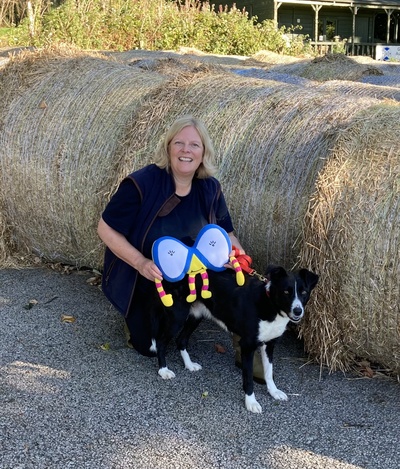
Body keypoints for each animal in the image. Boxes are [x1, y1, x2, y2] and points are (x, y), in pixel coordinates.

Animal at [153, 264, 318, 414]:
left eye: (304, 292)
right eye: (286, 292)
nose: (298, 311)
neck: (270, 304)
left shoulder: (269, 344)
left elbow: (268, 372)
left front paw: (274, 391)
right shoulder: (248, 346)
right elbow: (248, 379)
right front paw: (251, 402)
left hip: (196, 315)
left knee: (181, 340)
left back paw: (189, 365)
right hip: (177, 316)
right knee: (161, 342)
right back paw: (163, 370)